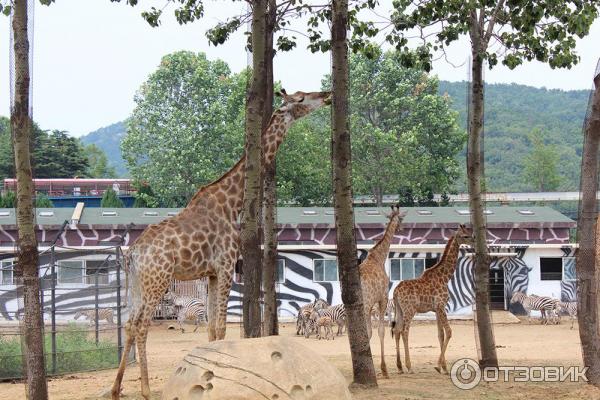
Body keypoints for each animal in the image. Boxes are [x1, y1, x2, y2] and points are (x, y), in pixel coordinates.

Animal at [110, 89, 330, 398]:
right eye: (300, 99)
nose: (327, 95)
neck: (232, 204)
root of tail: (133, 254)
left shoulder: (212, 273)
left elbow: (212, 329)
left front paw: (209, 374)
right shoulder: (226, 266)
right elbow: (223, 328)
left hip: (138, 284)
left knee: (129, 324)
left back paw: (116, 388)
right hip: (158, 279)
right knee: (141, 325)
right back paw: (145, 389)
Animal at [358, 205, 406, 376]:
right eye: (401, 218)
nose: (402, 228)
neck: (379, 258)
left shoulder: (374, 302)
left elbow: (371, 332)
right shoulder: (383, 298)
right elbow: (380, 331)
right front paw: (384, 369)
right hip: (365, 303)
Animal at [392, 225, 476, 376]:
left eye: (470, 233)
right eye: (465, 236)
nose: (474, 242)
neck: (445, 277)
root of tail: (395, 292)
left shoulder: (436, 309)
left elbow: (440, 334)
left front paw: (444, 367)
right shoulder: (441, 305)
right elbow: (449, 332)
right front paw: (439, 366)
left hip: (400, 309)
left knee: (396, 330)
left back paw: (400, 367)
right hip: (410, 309)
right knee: (405, 331)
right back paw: (409, 366)